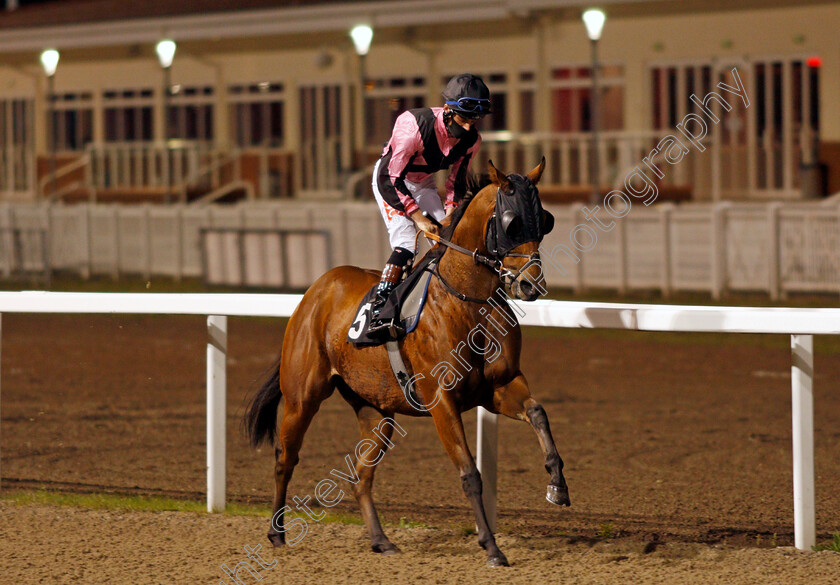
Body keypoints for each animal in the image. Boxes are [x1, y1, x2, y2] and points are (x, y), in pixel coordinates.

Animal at [243, 157, 572, 564]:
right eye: (512, 223)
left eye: (544, 220)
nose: (530, 285)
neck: (467, 302)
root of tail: (315, 291)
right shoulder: (442, 401)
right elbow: (469, 473)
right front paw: (492, 546)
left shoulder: (499, 387)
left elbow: (538, 413)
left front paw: (557, 485)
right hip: (301, 398)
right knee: (284, 458)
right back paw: (276, 532)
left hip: (376, 412)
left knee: (361, 478)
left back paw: (379, 539)